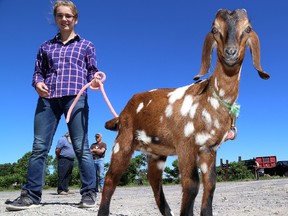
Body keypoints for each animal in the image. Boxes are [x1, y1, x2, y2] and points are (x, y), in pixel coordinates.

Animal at [99, 8, 270, 216]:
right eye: (214, 29)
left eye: (248, 29)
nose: (231, 53)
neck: (210, 98)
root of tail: (123, 111)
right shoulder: (185, 144)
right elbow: (191, 184)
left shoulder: (209, 149)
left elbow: (210, 184)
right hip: (123, 141)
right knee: (110, 179)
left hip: (156, 152)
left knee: (154, 181)